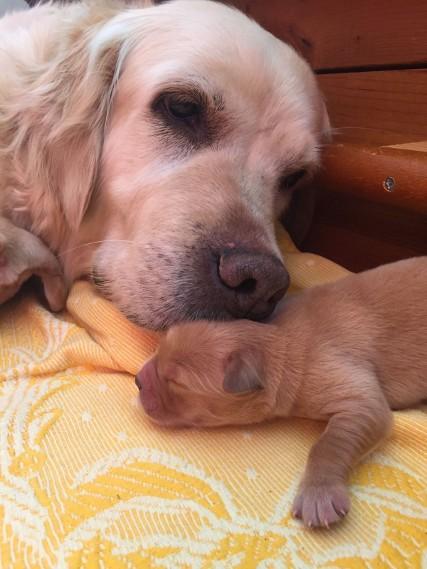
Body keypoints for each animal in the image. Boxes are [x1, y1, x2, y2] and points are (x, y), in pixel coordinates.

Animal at [137, 258, 427, 528]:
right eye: (160, 348)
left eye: (176, 382)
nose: (138, 381)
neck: (277, 339)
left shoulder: (354, 394)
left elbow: (328, 444)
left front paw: (318, 494)